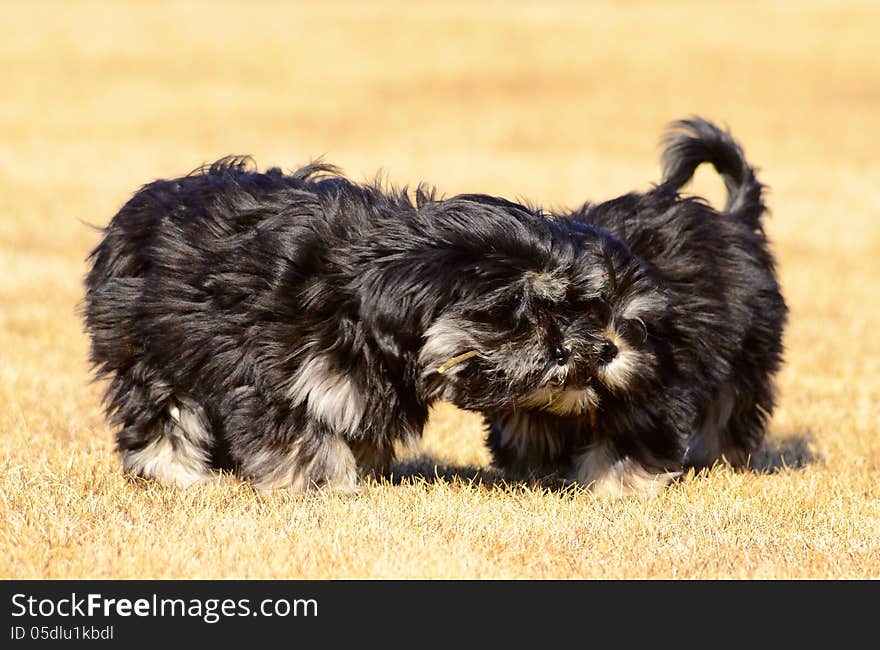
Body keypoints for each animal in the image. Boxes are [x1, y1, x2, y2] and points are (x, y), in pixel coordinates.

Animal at [484, 119, 788, 494]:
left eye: (635, 322)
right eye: (575, 310)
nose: (608, 350)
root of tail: (735, 222)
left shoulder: (658, 387)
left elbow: (626, 442)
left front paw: (612, 486)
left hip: (745, 352)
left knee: (730, 408)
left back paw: (718, 456)